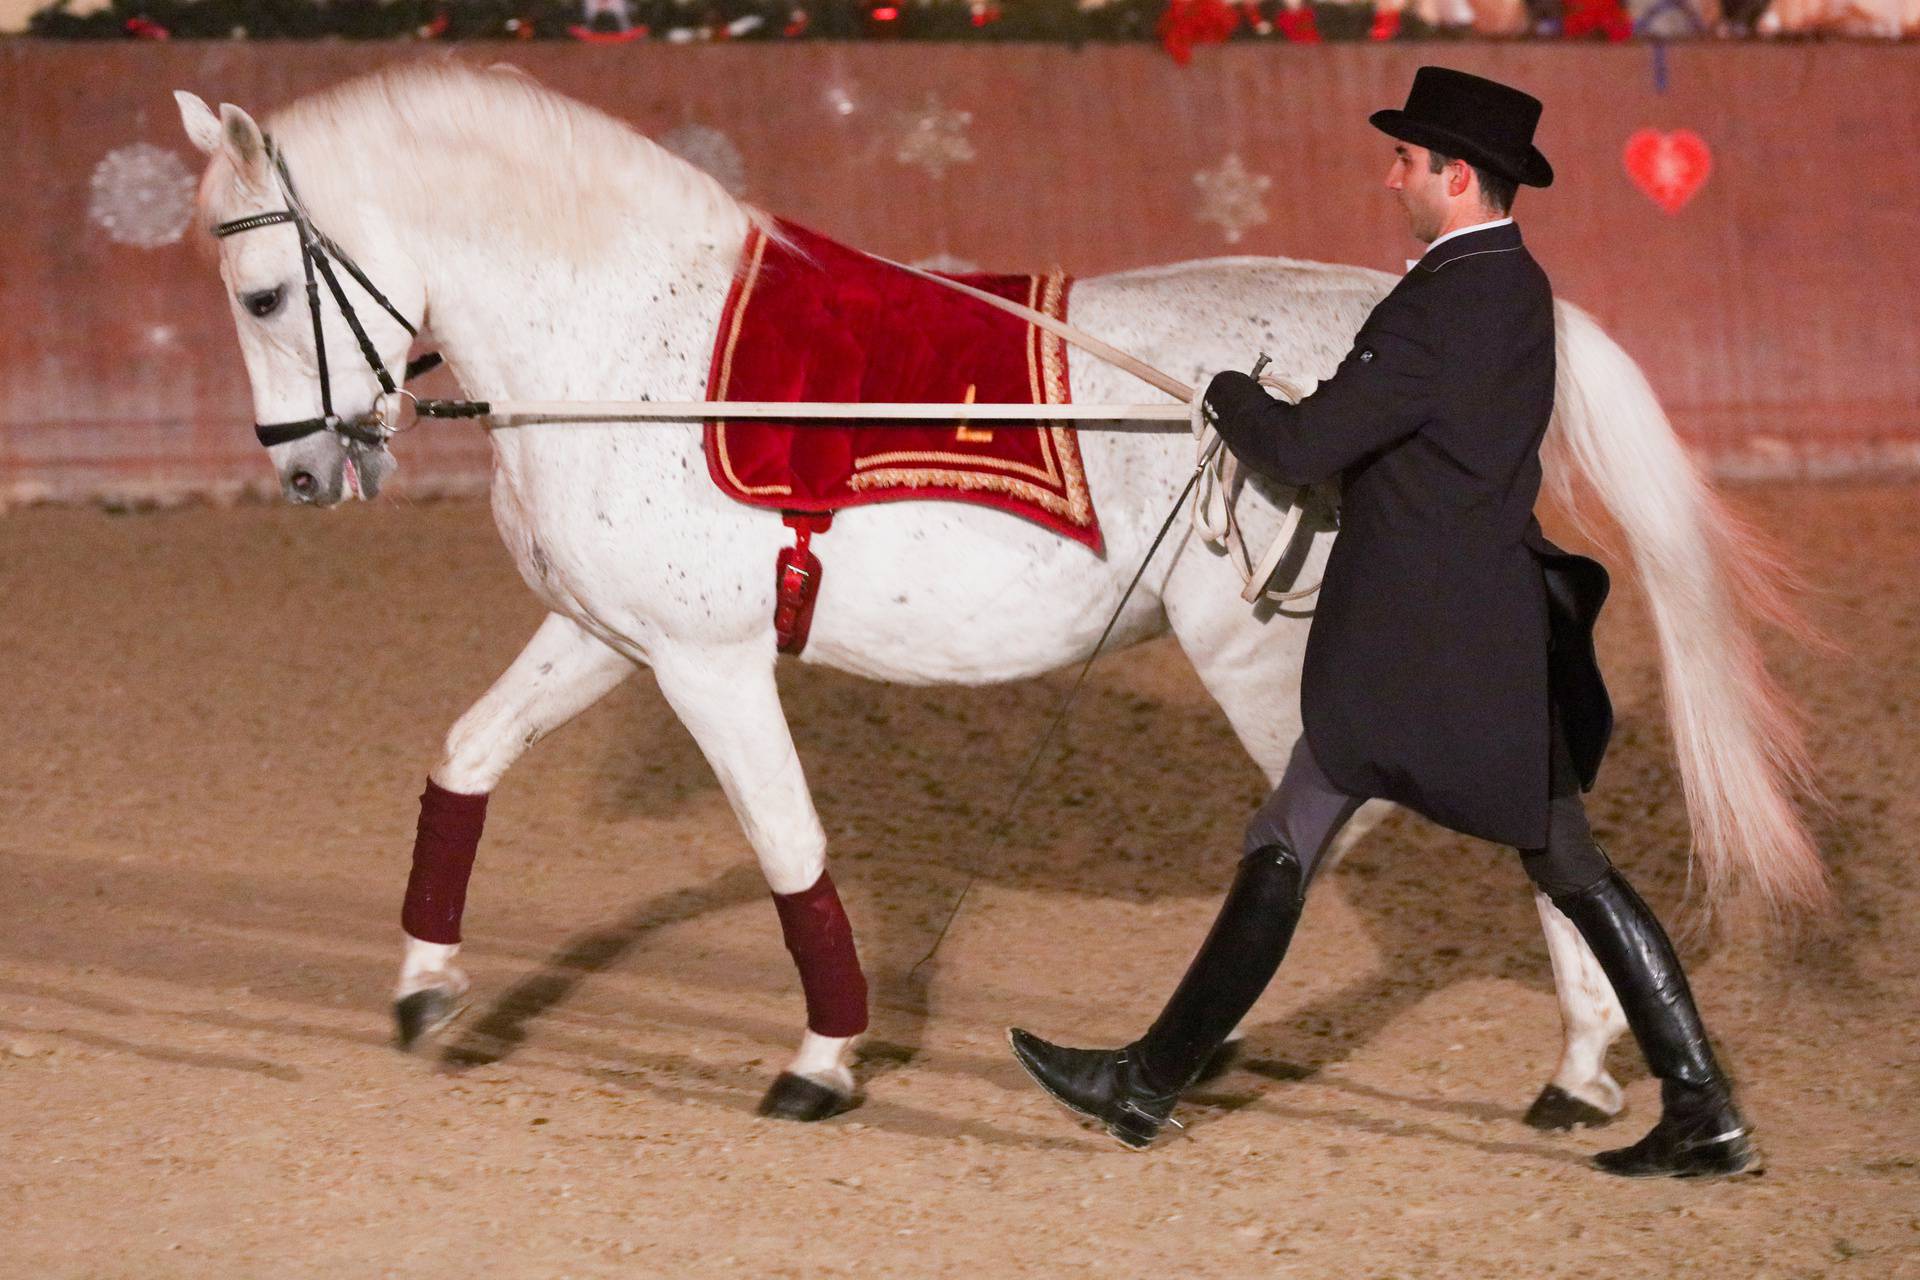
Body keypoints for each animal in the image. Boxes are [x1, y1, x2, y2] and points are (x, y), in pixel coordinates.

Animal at [176, 65, 1812, 1128]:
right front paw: (424, 990)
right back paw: (1580, 1072)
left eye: (260, 295)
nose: (308, 474)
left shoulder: (711, 664)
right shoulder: (610, 637)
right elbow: (465, 760)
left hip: (1280, 662)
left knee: (1405, 830)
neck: (629, 339)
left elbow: (790, 849)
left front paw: (823, 1062)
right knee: (1502, 831)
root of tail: (1380, 311)